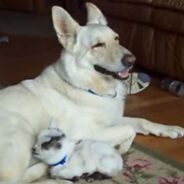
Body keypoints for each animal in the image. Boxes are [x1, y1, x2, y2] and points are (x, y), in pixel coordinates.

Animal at [0, 2, 183, 183]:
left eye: (116, 39)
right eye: (98, 45)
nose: (132, 60)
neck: (89, 87)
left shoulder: (111, 119)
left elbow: (141, 121)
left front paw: (169, 129)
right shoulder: (90, 131)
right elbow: (129, 130)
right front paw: (121, 147)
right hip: (21, 135)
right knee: (15, 179)